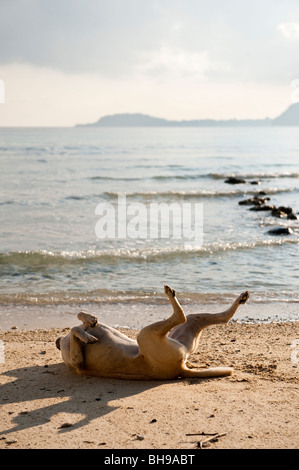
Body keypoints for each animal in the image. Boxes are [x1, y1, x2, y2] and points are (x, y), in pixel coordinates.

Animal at [55, 284, 250, 380]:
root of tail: (180, 369)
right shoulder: (79, 364)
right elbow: (74, 329)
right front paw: (86, 334)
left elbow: (78, 317)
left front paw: (89, 319)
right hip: (149, 335)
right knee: (182, 316)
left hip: (169, 334)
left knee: (202, 317)